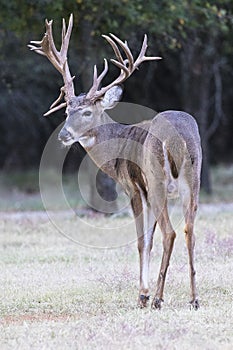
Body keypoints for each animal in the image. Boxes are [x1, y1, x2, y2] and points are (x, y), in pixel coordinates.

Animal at [28, 14, 201, 308]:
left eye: (87, 112)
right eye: (66, 110)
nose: (63, 135)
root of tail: (179, 137)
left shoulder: (133, 187)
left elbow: (143, 240)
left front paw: (142, 294)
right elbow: (149, 239)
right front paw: (144, 292)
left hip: (157, 180)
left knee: (171, 232)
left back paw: (158, 299)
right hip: (193, 181)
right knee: (190, 229)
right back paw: (194, 299)